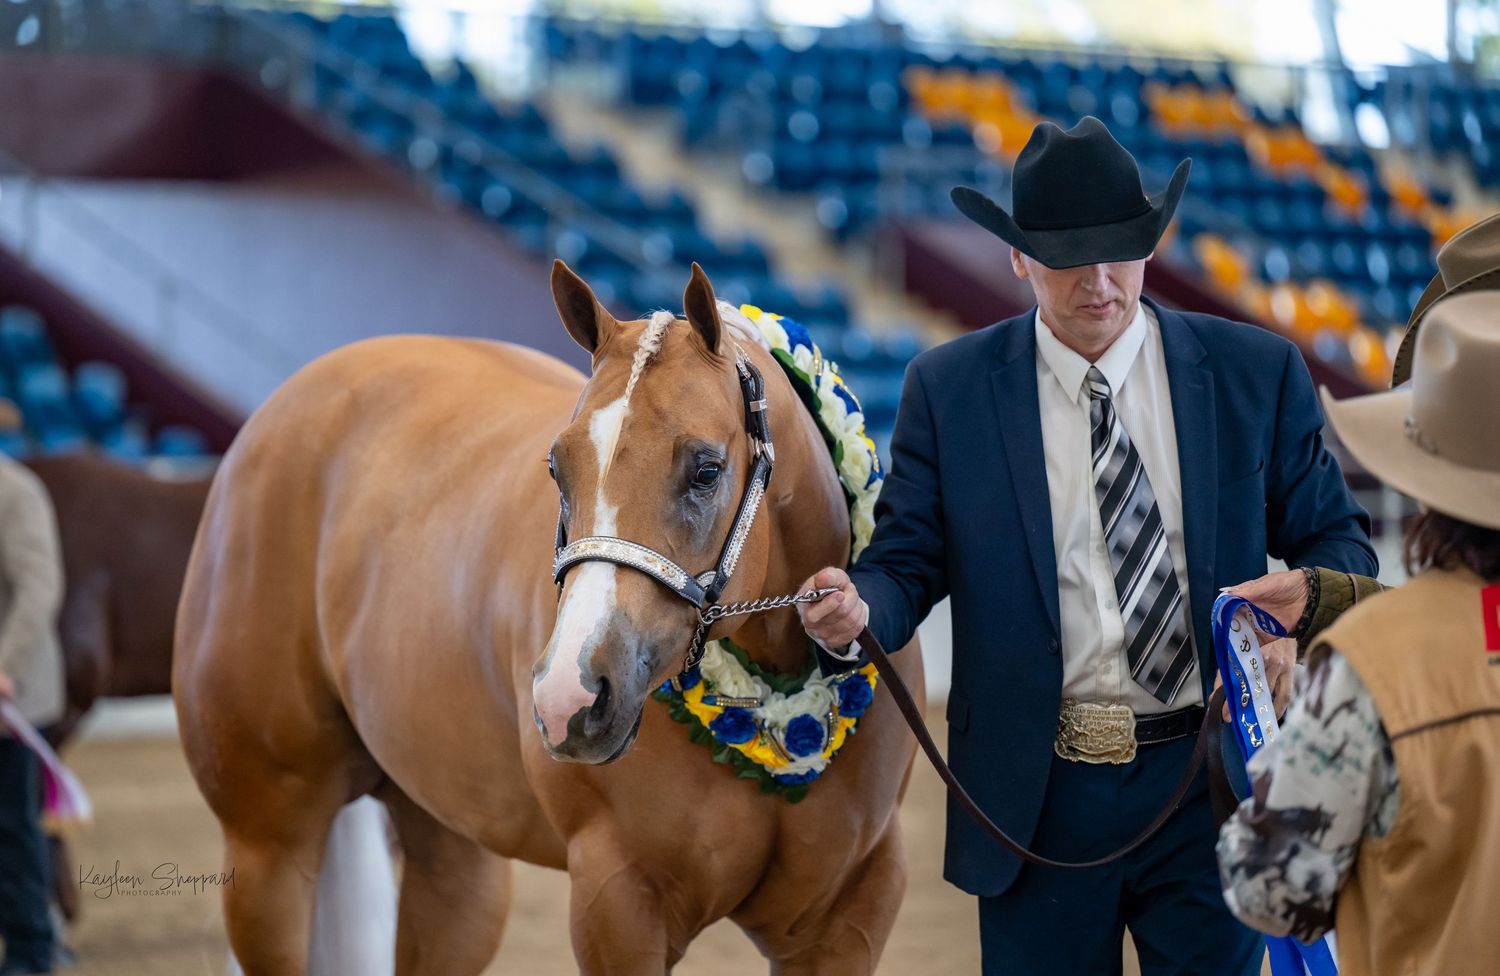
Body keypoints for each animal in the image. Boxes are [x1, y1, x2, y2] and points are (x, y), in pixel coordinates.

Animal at [173, 261, 924, 974]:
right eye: (558, 469)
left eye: (707, 469)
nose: (570, 697)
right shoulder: (617, 904)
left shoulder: (848, 916)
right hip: (270, 849)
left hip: (455, 855)